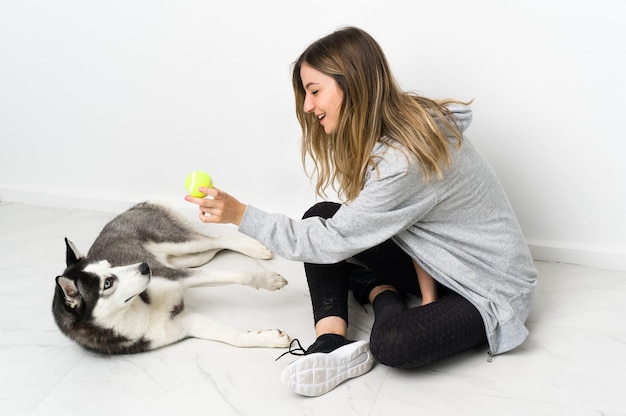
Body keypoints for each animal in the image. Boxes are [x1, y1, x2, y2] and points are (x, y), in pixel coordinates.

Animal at [51, 202, 290, 354]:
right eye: (108, 283)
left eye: (110, 265)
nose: (145, 267)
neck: (137, 310)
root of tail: (132, 208)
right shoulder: (185, 323)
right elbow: (232, 337)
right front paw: (267, 338)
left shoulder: (175, 277)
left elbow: (236, 275)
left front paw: (268, 280)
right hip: (190, 258)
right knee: (213, 247)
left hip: (182, 245)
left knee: (215, 239)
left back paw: (254, 247)